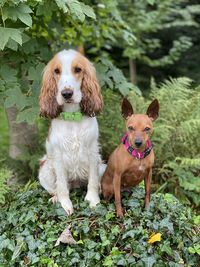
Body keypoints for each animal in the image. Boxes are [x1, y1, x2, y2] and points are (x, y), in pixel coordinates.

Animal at [38, 49, 105, 216]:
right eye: (56, 71)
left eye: (78, 69)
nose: (66, 94)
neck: (72, 116)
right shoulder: (58, 156)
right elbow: (61, 185)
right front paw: (64, 205)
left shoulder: (92, 152)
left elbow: (93, 181)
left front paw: (93, 200)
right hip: (45, 169)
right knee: (54, 188)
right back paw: (55, 197)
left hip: (102, 165)